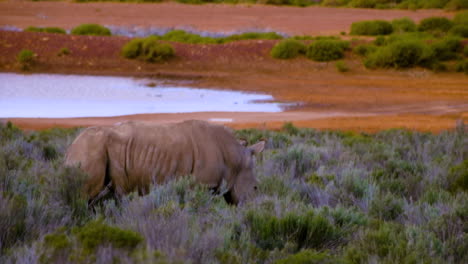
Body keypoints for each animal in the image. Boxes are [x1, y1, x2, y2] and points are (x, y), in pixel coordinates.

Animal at [64, 120, 266, 206]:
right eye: (255, 188)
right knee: (84, 194)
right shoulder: (203, 185)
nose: (254, 208)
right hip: (90, 149)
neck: (235, 158)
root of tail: (69, 149)